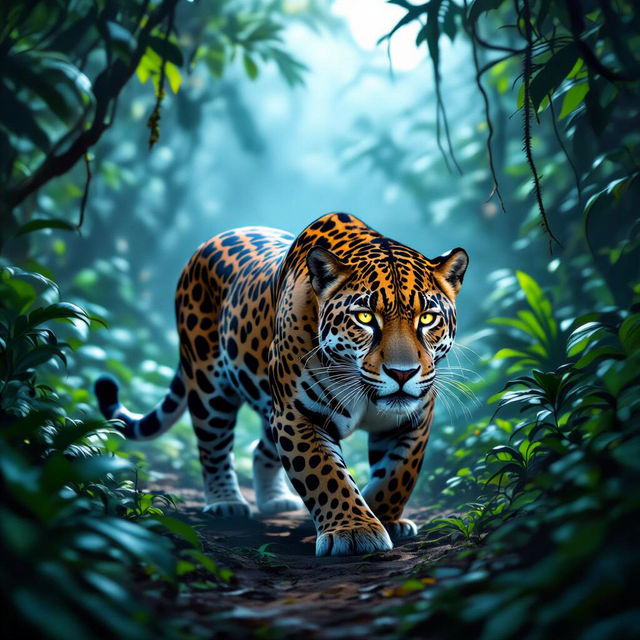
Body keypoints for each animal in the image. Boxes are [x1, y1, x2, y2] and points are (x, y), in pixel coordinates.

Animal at [94, 212, 468, 556]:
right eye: (365, 318)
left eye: (427, 318)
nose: (402, 373)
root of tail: (208, 243)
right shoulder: (297, 414)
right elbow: (325, 474)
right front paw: (354, 530)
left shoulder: (413, 419)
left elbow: (397, 475)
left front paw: (386, 518)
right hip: (209, 384)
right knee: (213, 446)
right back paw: (226, 503)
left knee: (261, 448)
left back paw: (275, 500)